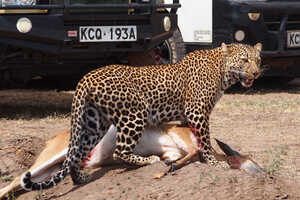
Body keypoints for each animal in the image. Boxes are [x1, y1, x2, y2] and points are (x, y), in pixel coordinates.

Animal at [21, 42, 262, 191]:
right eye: (244, 60)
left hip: (94, 124)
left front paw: (202, 158)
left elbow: (195, 140)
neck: (222, 71)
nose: (257, 72)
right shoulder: (198, 111)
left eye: (258, 60)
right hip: (134, 115)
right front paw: (214, 162)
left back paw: (80, 178)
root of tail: (85, 78)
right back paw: (149, 160)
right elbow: (205, 140)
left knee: (77, 153)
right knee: (119, 151)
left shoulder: (189, 116)